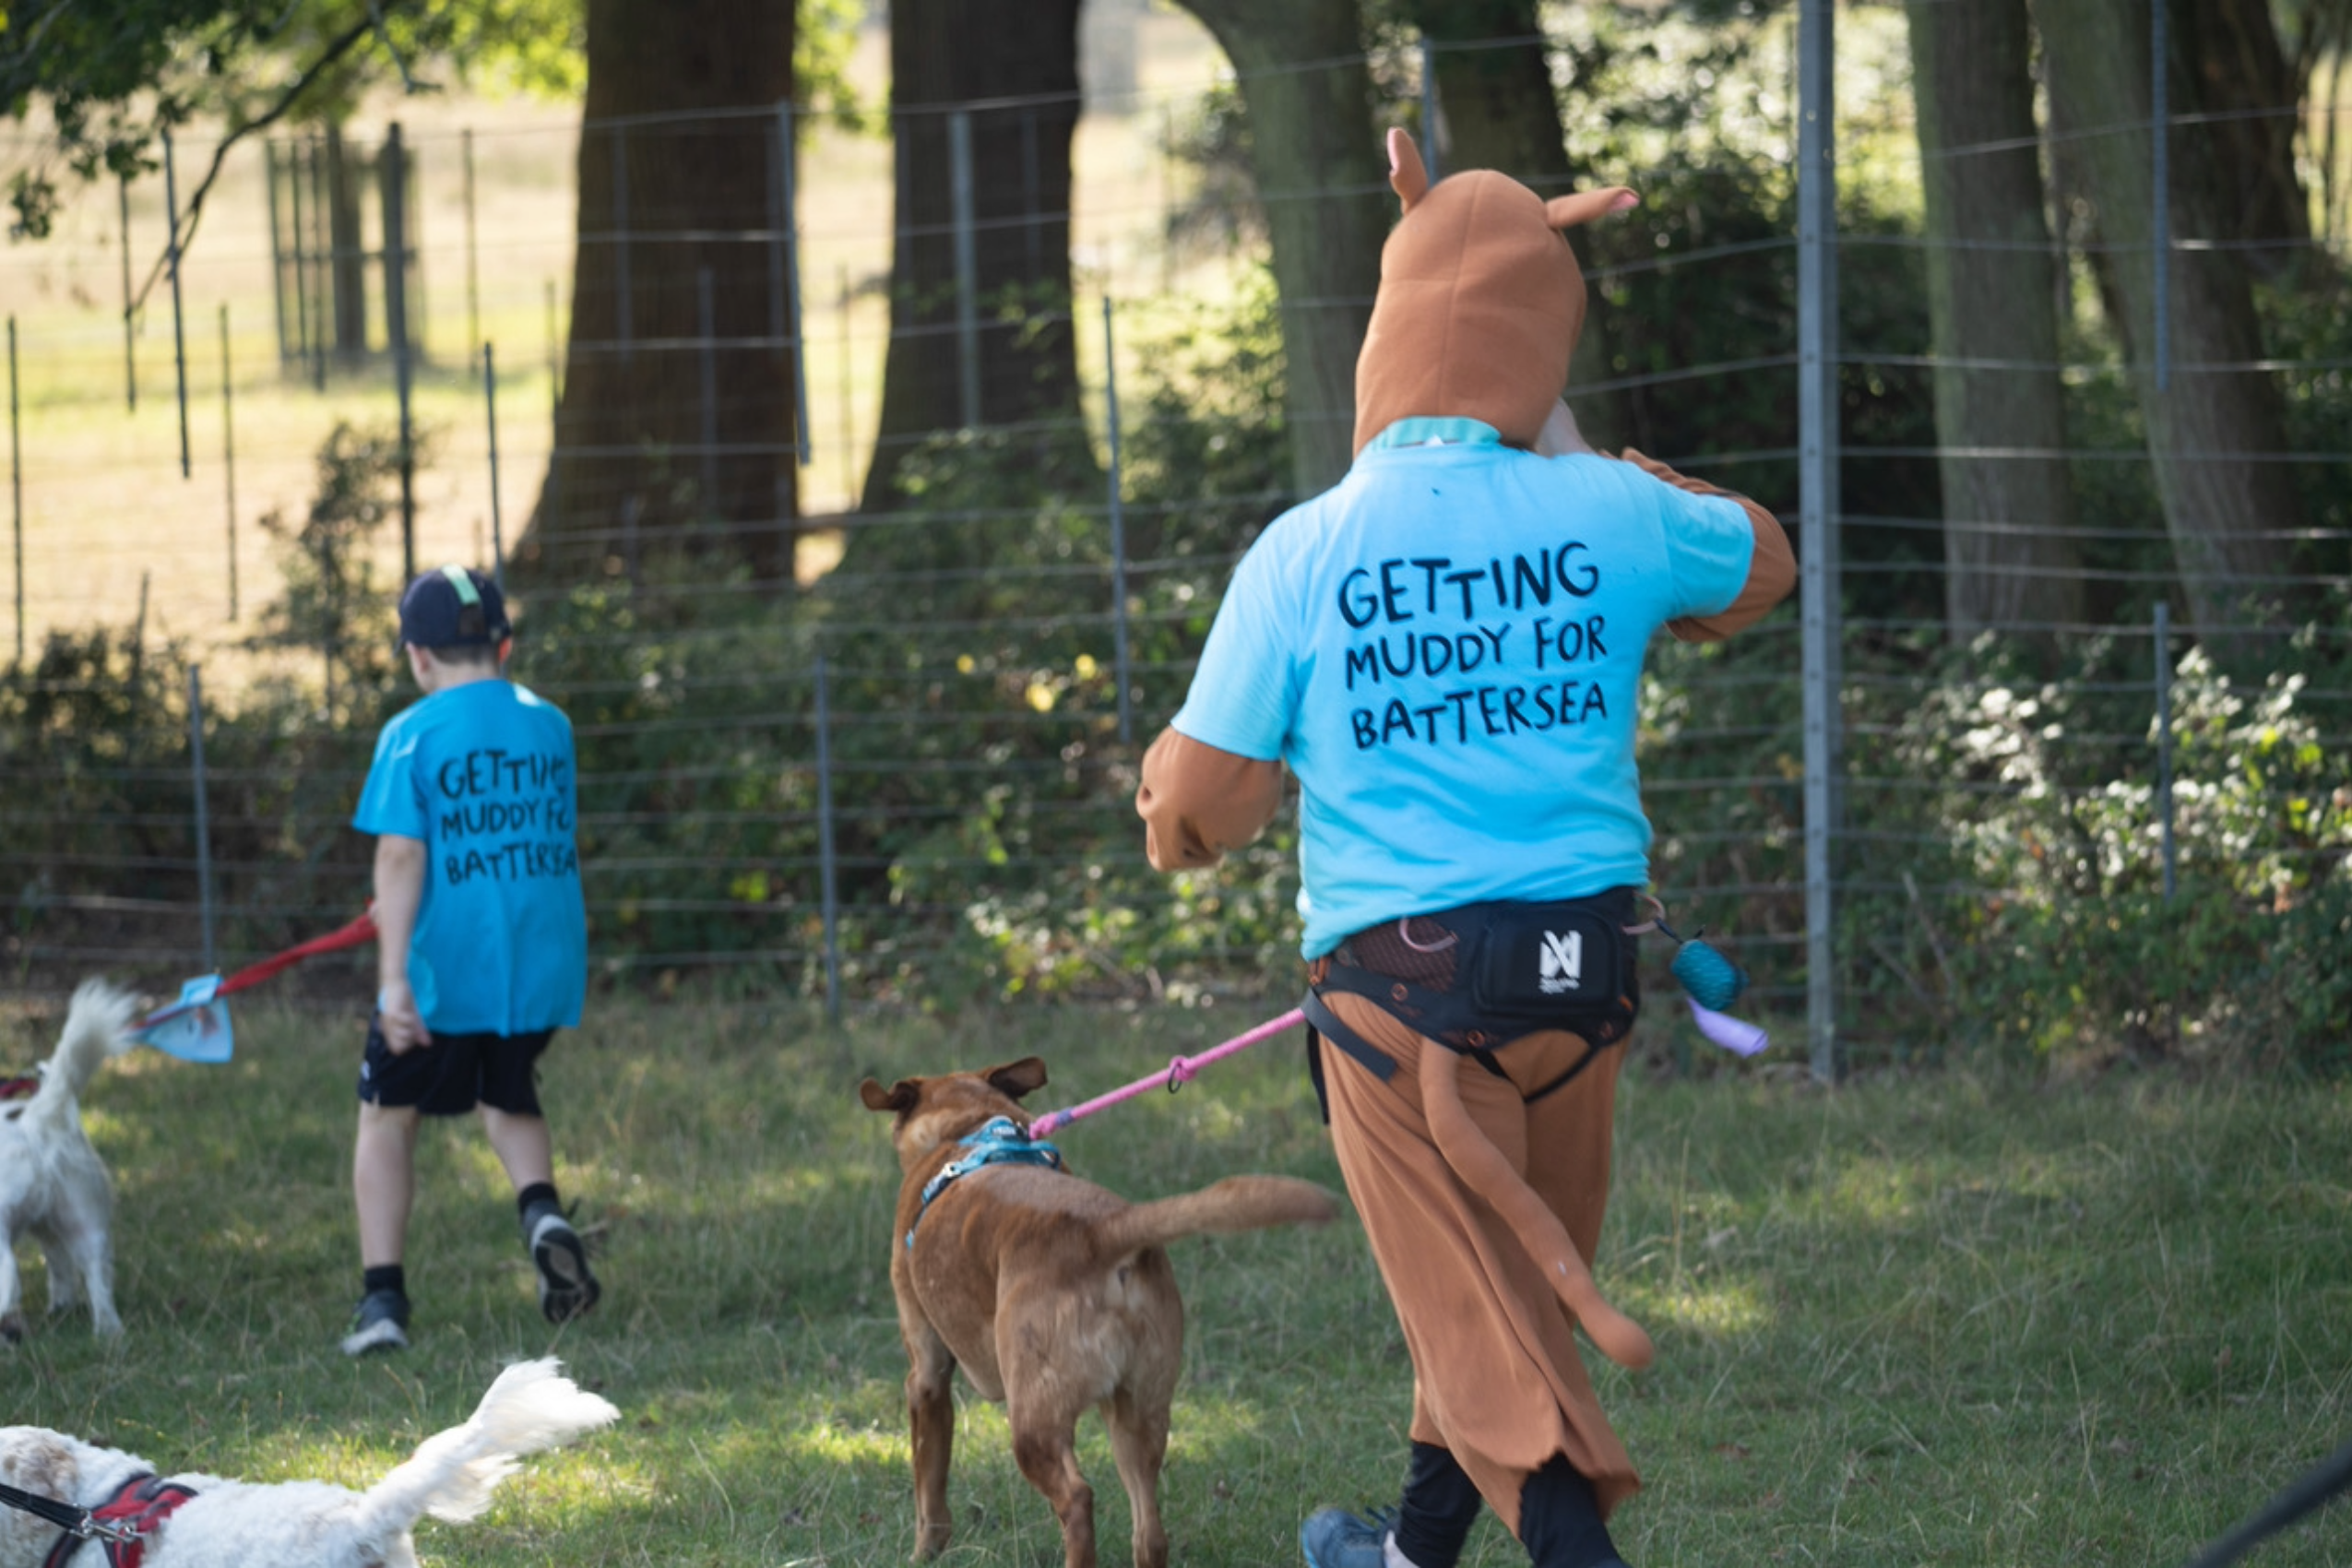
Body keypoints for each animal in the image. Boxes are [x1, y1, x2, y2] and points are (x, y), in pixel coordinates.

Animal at [865, 1052, 1345, 1568]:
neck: (970, 1127)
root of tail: (1103, 1231)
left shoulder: (927, 1377)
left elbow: (929, 1490)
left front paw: (924, 1552)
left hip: (1035, 1422)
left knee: (1078, 1499)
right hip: (1140, 1415)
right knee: (1149, 1532)